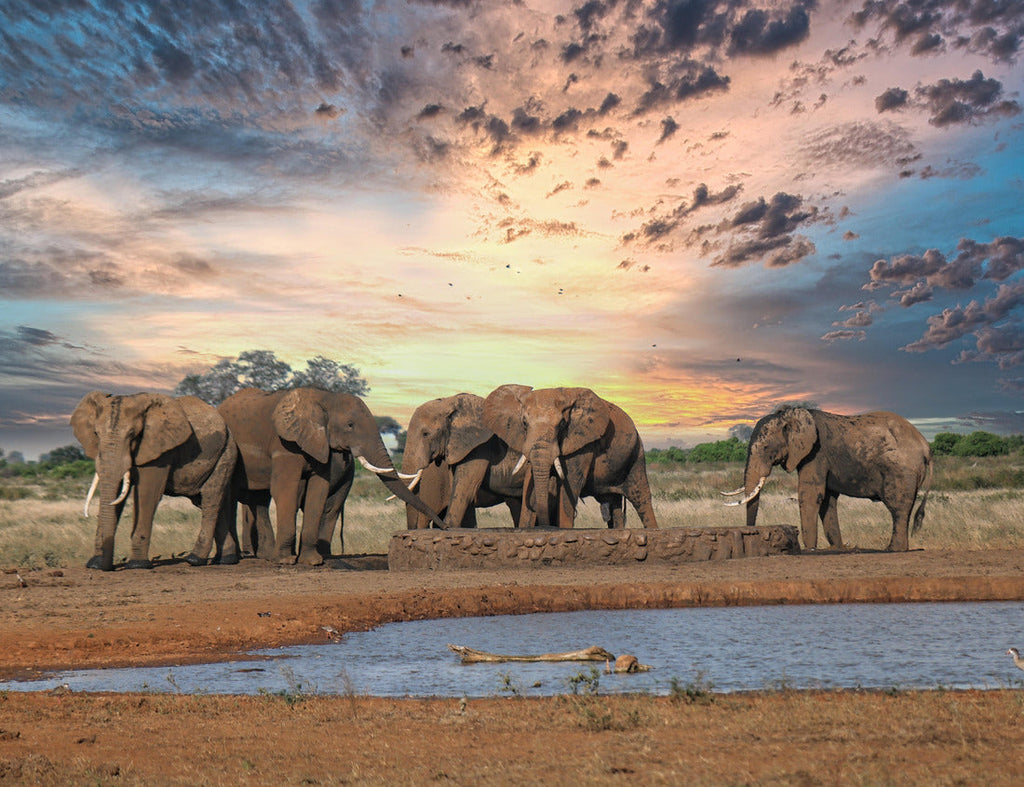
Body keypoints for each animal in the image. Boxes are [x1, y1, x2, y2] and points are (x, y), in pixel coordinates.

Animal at [71, 392, 238, 571]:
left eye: (133, 434)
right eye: (96, 433)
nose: (107, 567)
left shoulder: (160, 451)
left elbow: (147, 494)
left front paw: (137, 565)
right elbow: (116, 496)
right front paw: (94, 564)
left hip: (226, 453)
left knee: (210, 500)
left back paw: (195, 559)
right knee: (213, 502)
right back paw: (225, 559)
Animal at [218, 387, 444, 565]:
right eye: (350, 425)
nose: (444, 527)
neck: (325, 397)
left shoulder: (319, 443)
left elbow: (319, 491)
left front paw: (312, 561)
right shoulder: (284, 445)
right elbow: (285, 489)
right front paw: (286, 561)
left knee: (259, 500)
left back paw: (264, 556)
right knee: (232, 497)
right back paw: (236, 558)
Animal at [482, 385, 658, 529]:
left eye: (561, 425)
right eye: (524, 423)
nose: (545, 526)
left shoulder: (583, 443)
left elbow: (570, 485)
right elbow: (529, 481)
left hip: (636, 453)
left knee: (641, 499)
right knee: (614, 504)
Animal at [726, 407, 932, 551]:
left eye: (766, 447)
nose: (752, 534)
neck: (792, 415)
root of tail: (926, 447)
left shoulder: (816, 453)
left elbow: (810, 495)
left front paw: (810, 548)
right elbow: (827, 500)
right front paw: (837, 548)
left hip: (900, 470)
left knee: (897, 508)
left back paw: (893, 549)